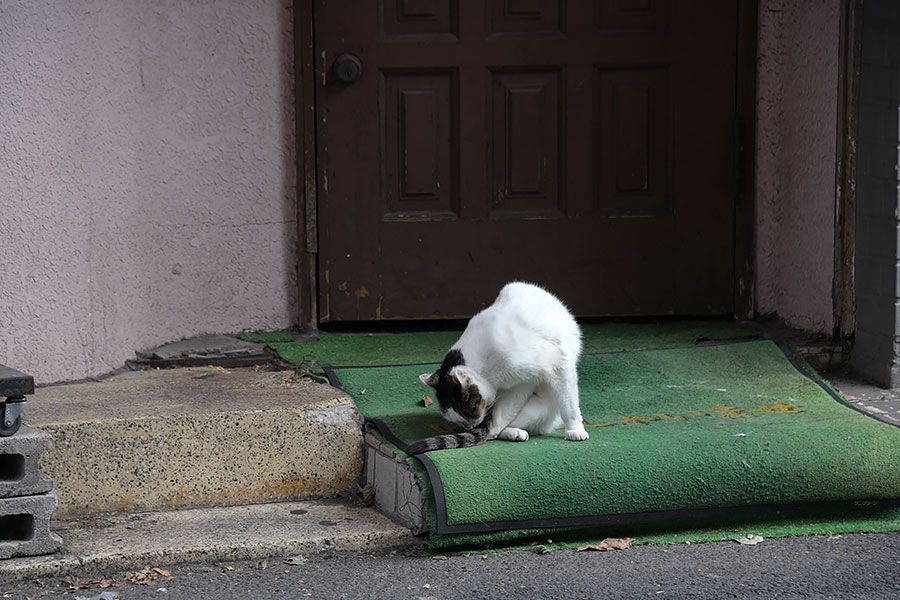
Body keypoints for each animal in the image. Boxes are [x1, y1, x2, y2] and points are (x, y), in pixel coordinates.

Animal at [406, 282, 588, 454]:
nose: (470, 427)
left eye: (469, 412)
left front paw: (575, 429)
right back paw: (514, 433)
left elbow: (569, 405)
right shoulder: (520, 383)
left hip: (545, 407)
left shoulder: (553, 365)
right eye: (458, 420)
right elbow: (499, 417)